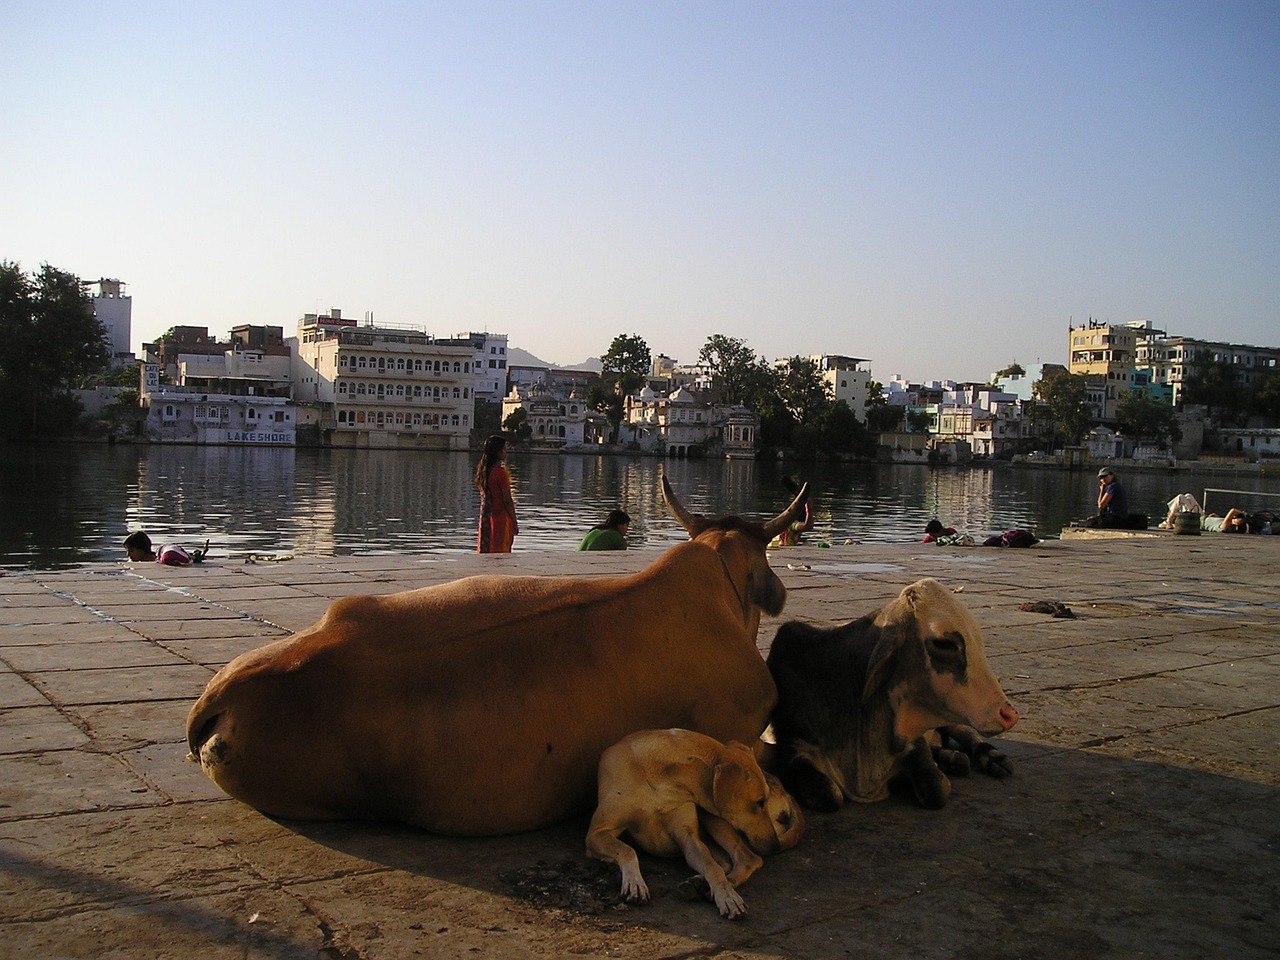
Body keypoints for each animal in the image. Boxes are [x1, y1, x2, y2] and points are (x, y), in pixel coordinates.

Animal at [586, 727, 803, 916]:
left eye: (765, 801)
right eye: (759, 802)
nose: (775, 846)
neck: (660, 778)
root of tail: (786, 791)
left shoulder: (688, 838)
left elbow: (712, 867)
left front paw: (727, 896)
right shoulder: (596, 833)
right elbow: (626, 850)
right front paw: (635, 882)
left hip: (714, 818)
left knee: (747, 858)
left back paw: (710, 886)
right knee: (729, 860)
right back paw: (699, 884)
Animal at [757, 578, 1018, 814]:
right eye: (944, 643)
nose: (1009, 714)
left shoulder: (913, 741)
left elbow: (937, 789)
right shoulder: (792, 749)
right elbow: (829, 795)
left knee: (967, 734)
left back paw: (991, 758)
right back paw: (952, 758)